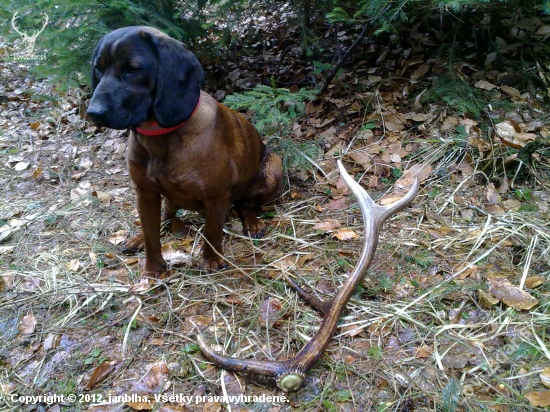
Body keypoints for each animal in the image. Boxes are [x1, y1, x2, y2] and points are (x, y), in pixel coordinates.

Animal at [87, 25, 284, 276]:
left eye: (133, 69)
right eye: (98, 68)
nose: (94, 112)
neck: (160, 137)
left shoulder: (216, 196)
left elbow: (212, 232)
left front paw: (211, 259)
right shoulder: (145, 192)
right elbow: (152, 234)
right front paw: (153, 269)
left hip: (272, 169)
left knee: (245, 204)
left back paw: (252, 222)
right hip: (170, 199)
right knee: (165, 218)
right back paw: (138, 237)